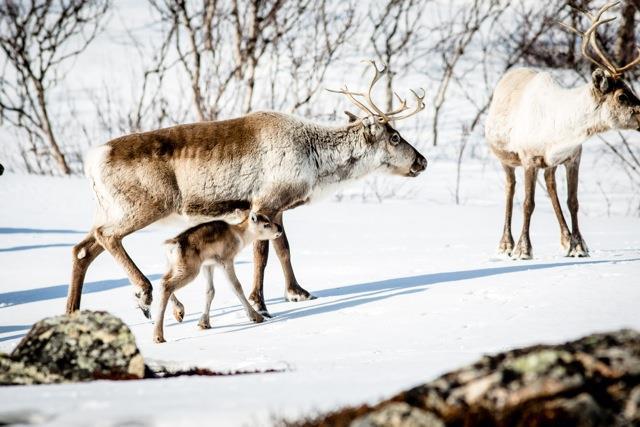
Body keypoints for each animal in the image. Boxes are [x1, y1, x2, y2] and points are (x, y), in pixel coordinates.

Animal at [154, 214, 282, 344]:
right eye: (266, 224)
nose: (280, 228)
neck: (239, 234)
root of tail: (173, 244)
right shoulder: (226, 261)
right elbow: (236, 287)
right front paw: (256, 317)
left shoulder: (208, 265)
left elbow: (210, 291)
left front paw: (204, 323)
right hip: (190, 270)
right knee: (167, 285)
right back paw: (158, 336)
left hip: (174, 267)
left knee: (162, 281)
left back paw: (179, 312)